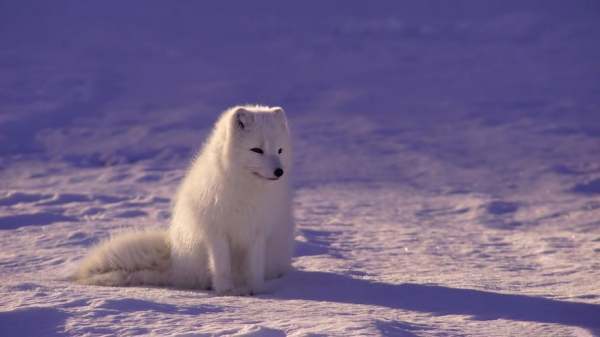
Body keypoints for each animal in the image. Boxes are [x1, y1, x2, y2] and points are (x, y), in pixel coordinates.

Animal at [75, 105, 296, 294]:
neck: (247, 190)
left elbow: (254, 268)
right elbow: (222, 266)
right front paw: (226, 291)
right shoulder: (216, 231)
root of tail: (174, 261)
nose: (279, 171)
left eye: (280, 150)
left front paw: (256, 290)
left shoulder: (258, 231)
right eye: (257, 150)